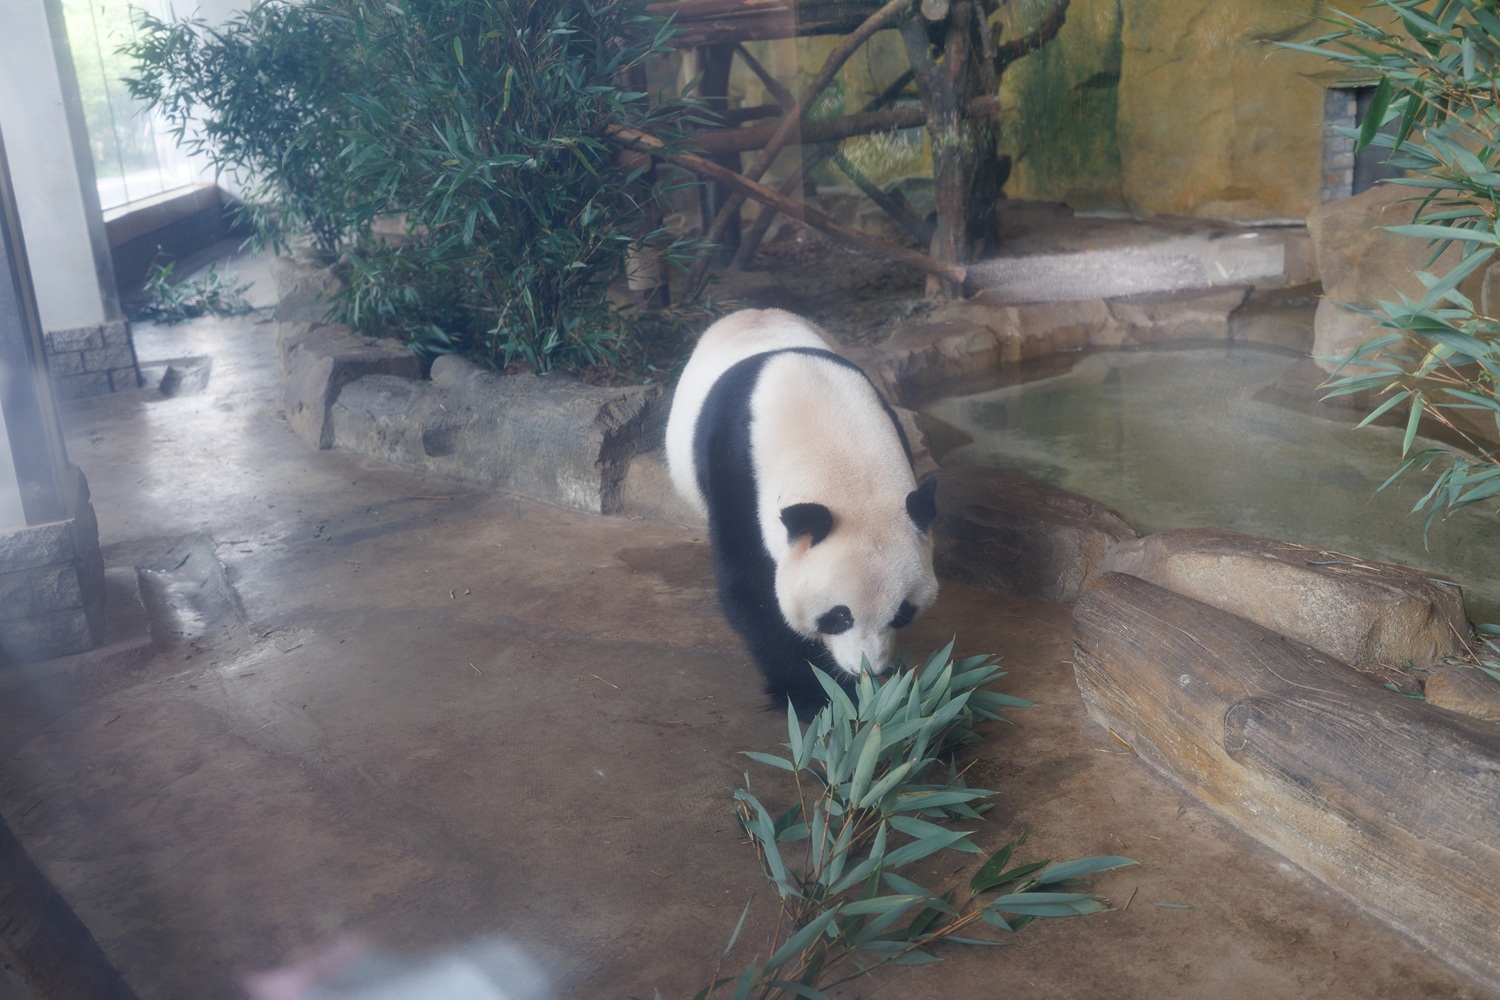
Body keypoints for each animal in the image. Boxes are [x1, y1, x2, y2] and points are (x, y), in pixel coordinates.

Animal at [665, 308, 939, 717]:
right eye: (838, 617)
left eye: (902, 613)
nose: (865, 669)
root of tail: (752, 313)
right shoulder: (737, 471)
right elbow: (753, 589)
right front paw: (814, 694)